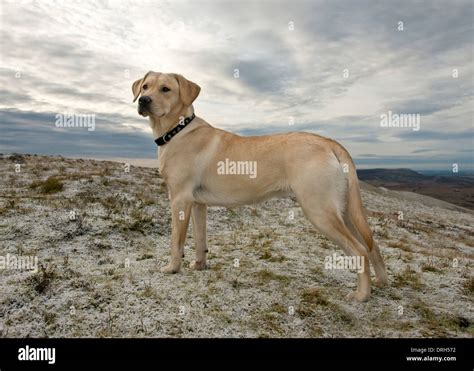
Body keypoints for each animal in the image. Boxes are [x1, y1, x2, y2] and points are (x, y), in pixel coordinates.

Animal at [131, 72, 386, 302]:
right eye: (145, 86)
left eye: (165, 89)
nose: (143, 100)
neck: (177, 130)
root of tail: (329, 142)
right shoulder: (197, 204)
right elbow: (200, 240)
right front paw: (199, 265)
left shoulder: (180, 199)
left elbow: (176, 240)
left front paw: (172, 268)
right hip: (345, 211)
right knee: (372, 246)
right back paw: (380, 282)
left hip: (320, 211)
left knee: (360, 250)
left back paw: (362, 295)